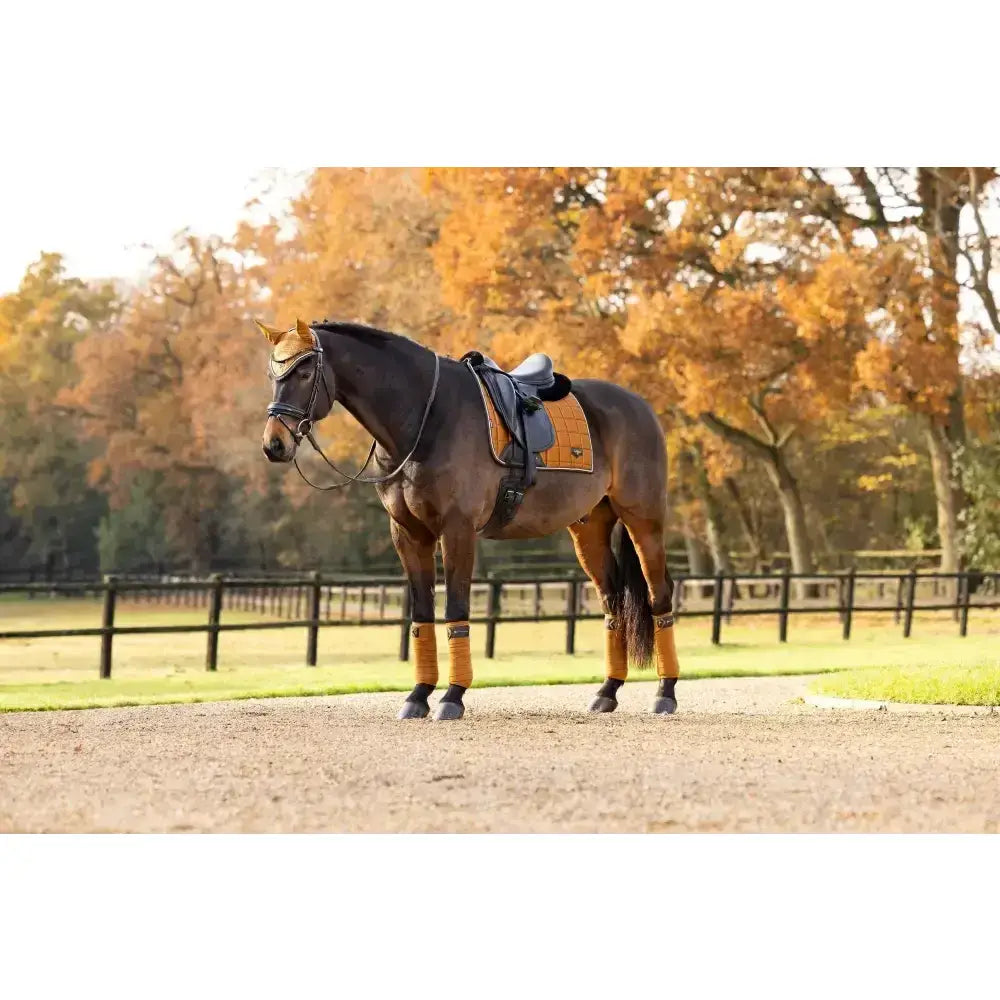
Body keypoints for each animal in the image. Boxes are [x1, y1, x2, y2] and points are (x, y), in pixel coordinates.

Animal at [258, 317, 680, 721]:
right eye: (273, 375)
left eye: (304, 372)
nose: (274, 444)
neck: (424, 419)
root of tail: (639, 406)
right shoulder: (408, 534)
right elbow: (422, 613)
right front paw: (418, 696)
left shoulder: (457, 530)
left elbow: (455, 609)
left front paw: (452, 697)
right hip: (589, 528)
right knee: (613, 603)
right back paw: (607, 691)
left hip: (644, 521)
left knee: (659, 595)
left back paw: (665, 692)